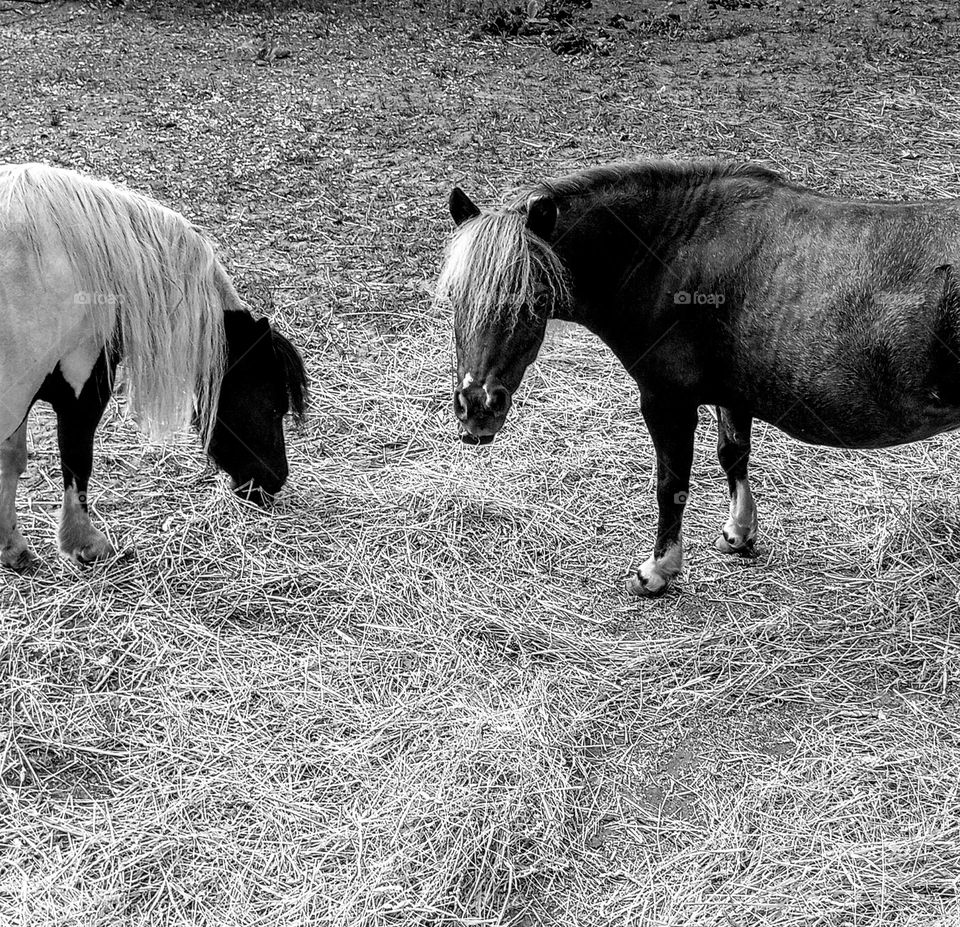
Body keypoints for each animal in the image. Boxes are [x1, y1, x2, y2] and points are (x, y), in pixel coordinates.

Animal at [438, 160, 960, 596]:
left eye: (535, 299)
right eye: (456, 296)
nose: (476, 406)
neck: (673, 251)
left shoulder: (667, 400)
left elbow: (671, 484)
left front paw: (658, 570)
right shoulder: (732, 394)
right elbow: (733, 454)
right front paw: (740, 534)